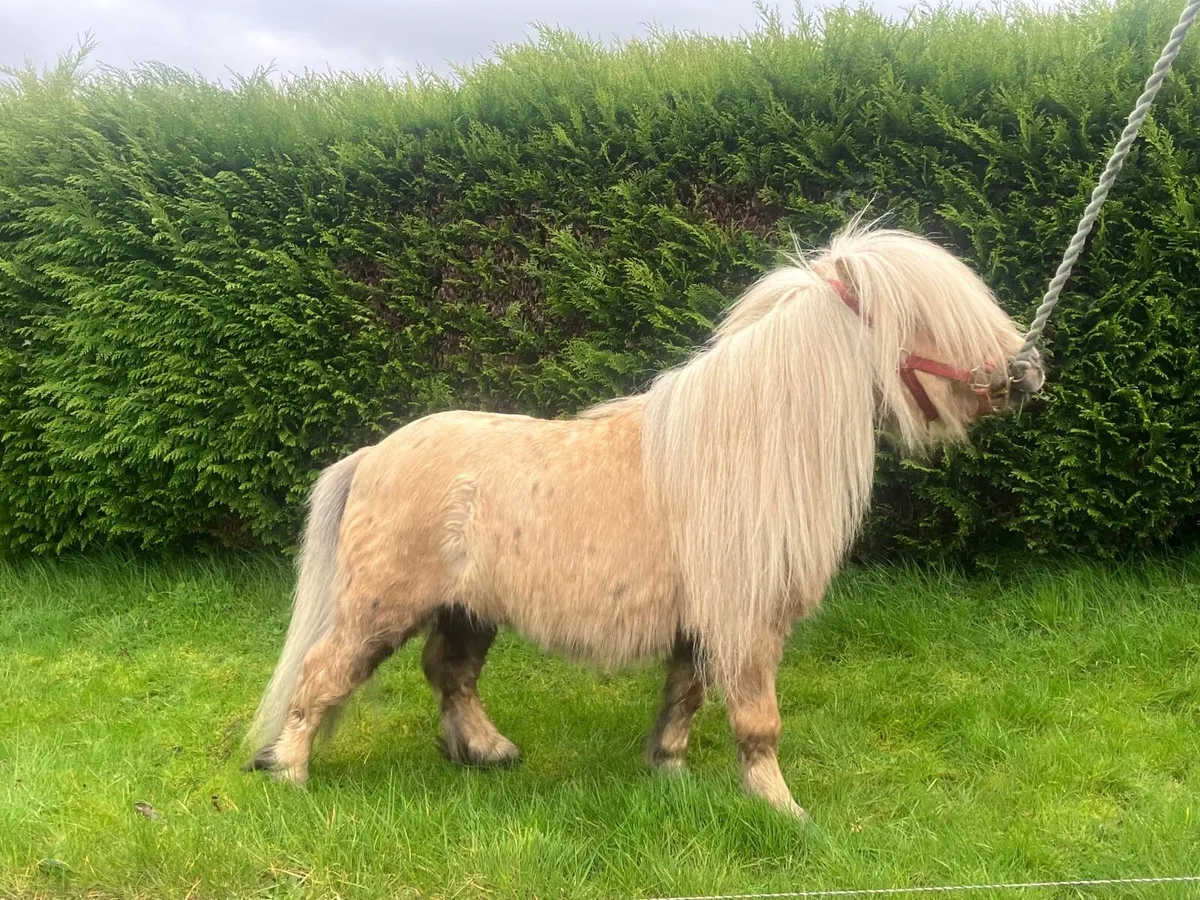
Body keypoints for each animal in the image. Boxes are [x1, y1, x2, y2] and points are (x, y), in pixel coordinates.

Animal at [245, 220, 1045, 817]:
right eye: (936, 319)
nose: (1028, 371)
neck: (750, 445)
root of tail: (373, 453)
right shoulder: (748, 623)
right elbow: (758, 721)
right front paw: (783, 811)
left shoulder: (703, 624)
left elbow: (684, 697)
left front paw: (669, 772)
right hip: (380, 605)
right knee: (325, 673)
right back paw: (289, 773)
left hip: (466, 607)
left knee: (450, 674)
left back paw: (485, 752)